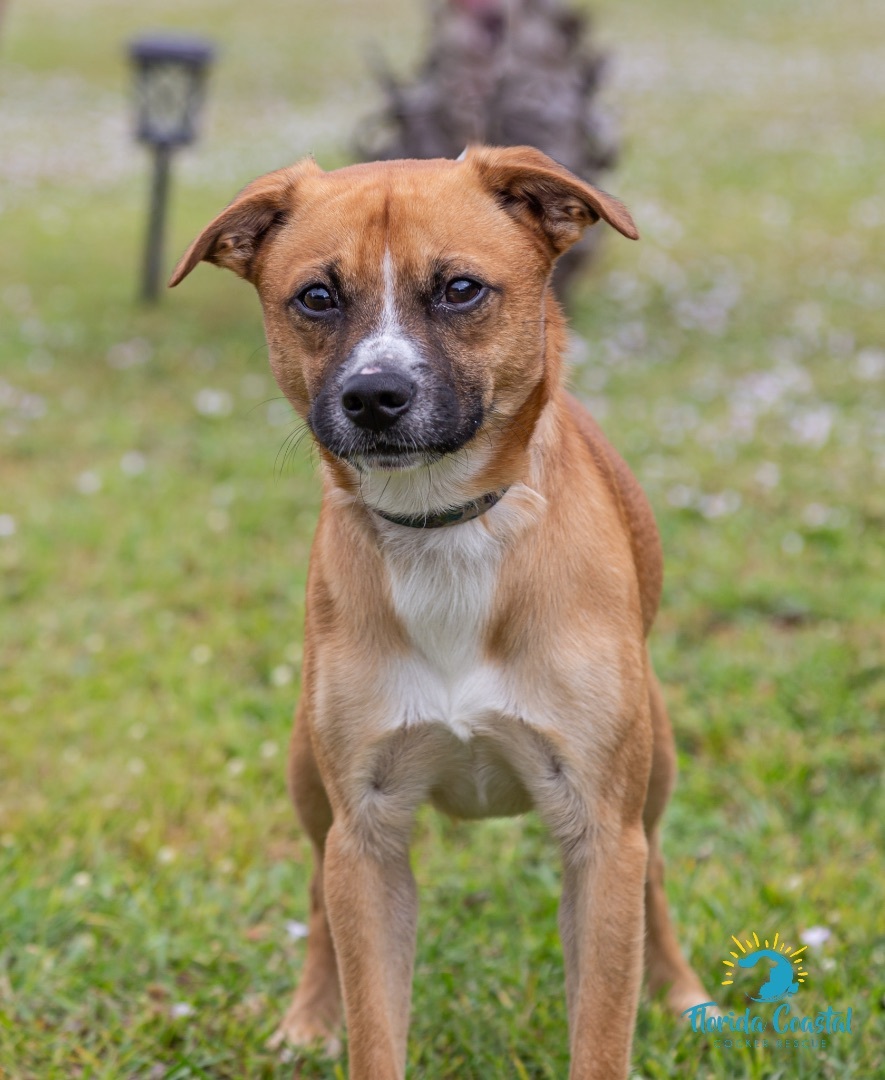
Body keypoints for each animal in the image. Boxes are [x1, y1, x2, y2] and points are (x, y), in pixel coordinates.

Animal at [172, 145, 708, 1080]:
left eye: (460, 289)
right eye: (316, 297)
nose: (374, 395)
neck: (444, 530)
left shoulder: (601, 835)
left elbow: (601, 1029)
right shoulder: (368, 834)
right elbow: (373, 1021)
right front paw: (333, 1021)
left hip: (654, 770)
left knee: (656, 880)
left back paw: (679, 993)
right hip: (309, 778)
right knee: (317, 891)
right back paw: (307, 1018)